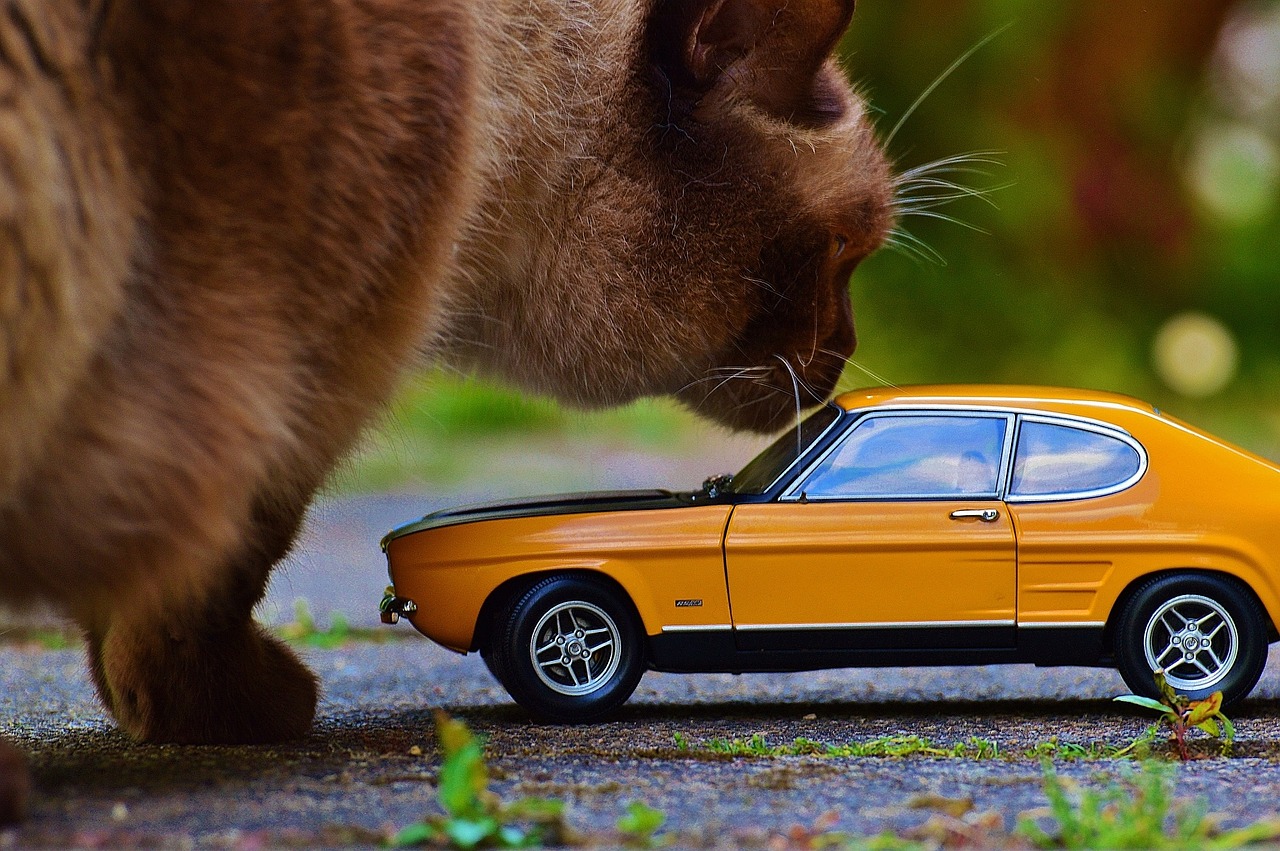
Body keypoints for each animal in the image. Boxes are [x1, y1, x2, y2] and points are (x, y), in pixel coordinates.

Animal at [0, 0, 890, 819]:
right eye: (846, 251)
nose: (845, 355)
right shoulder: (306, 370)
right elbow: (228, 557)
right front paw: (217, 709)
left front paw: (161, 707)